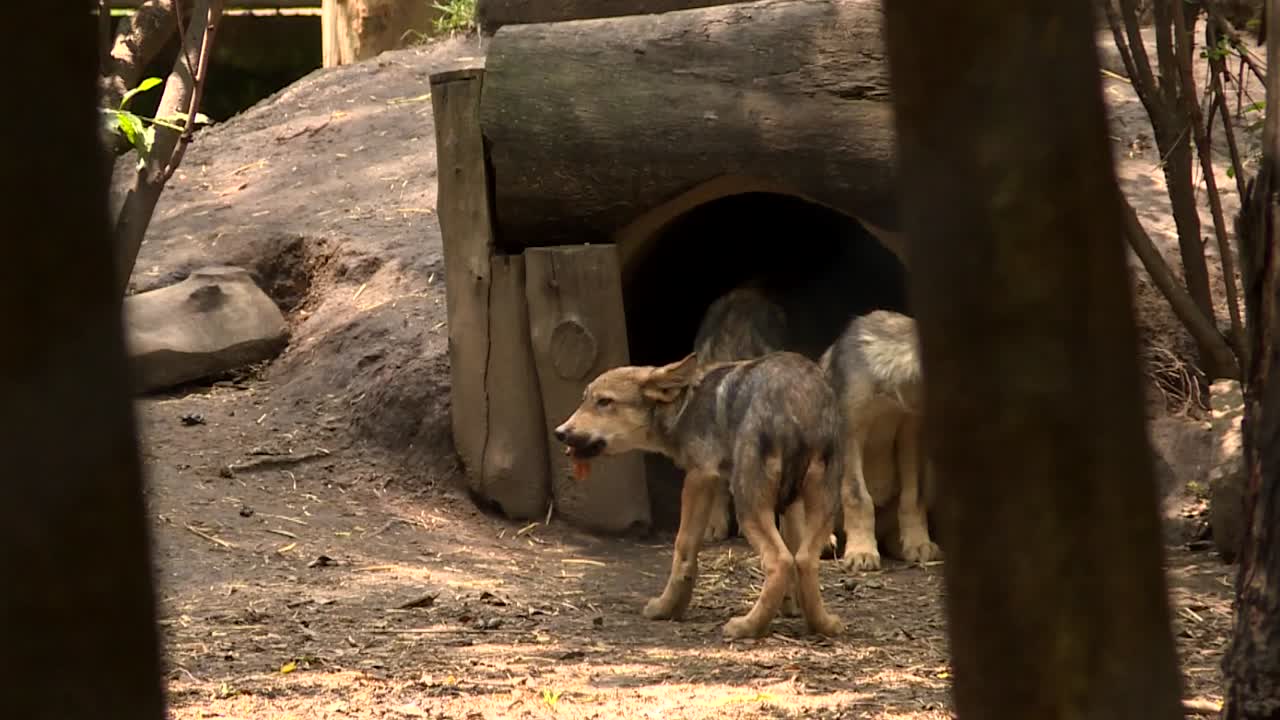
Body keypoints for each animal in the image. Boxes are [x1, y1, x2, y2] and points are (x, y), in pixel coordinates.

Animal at [553, 351, 846, 639]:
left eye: (604, 401)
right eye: (585, 399)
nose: (559, 432)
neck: (684, 407)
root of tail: (795, 406)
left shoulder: (699, 477)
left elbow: (684, 549)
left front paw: (665, 608)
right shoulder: (790, 504)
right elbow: (794, 550)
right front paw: (791, 607)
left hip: (748, 505)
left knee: (780, 561)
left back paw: (747, 627)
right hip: (820, 505)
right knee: (804, 559)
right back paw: (823, 625)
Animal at [821, 309, 941, 570]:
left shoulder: (911, 432)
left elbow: (913, 498)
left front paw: (918, 543)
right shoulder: (850, 431)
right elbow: (858, 496)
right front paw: (862, 551)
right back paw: (825, 542)